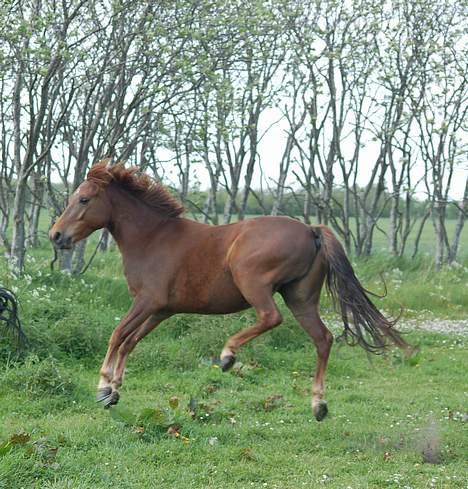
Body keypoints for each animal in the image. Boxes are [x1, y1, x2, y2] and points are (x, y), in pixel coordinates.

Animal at [51, 163, 410, 420]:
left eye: (84, 199)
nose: (56, 235)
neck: (153, 237)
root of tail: (311, 229)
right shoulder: (161, 310)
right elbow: (130, 342)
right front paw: (114, 391)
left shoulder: (146, 302)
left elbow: (117, 335)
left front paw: (103, 386)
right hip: (301, 298)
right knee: (323, 338)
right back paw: (318, 405)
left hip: (255, 283)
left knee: (271, 317)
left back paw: (227, 355)